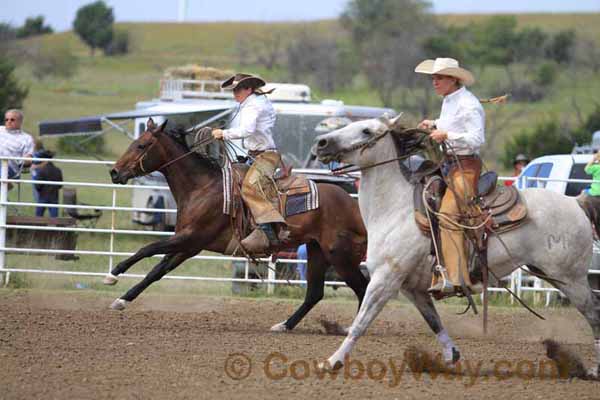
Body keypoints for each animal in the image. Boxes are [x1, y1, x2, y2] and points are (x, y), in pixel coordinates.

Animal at [105, 121, 368, 332]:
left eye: (142, 145)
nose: (114, 172)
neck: (202, 188)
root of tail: (354, 206)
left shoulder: (190, 238)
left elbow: (147, 249)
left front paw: (113, 274)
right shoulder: (189, 245)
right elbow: (156, 271)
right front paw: (122, 300)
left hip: (339, 255)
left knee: (362, 287)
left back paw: (352, 329)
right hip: (316, 251)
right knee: (315, 293)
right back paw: (284, 325)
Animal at [314, 113, 600, 376]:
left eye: (366, 130)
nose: (321, 142)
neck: (397, 210)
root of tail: (577, 202)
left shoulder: (386, 279)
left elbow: (361, 321)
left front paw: (332, 361)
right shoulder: (413, 288)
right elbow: (434, 322)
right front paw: (449, 356)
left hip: (571, 278)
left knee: (594, 312)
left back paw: (593, 370)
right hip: (551, 274)